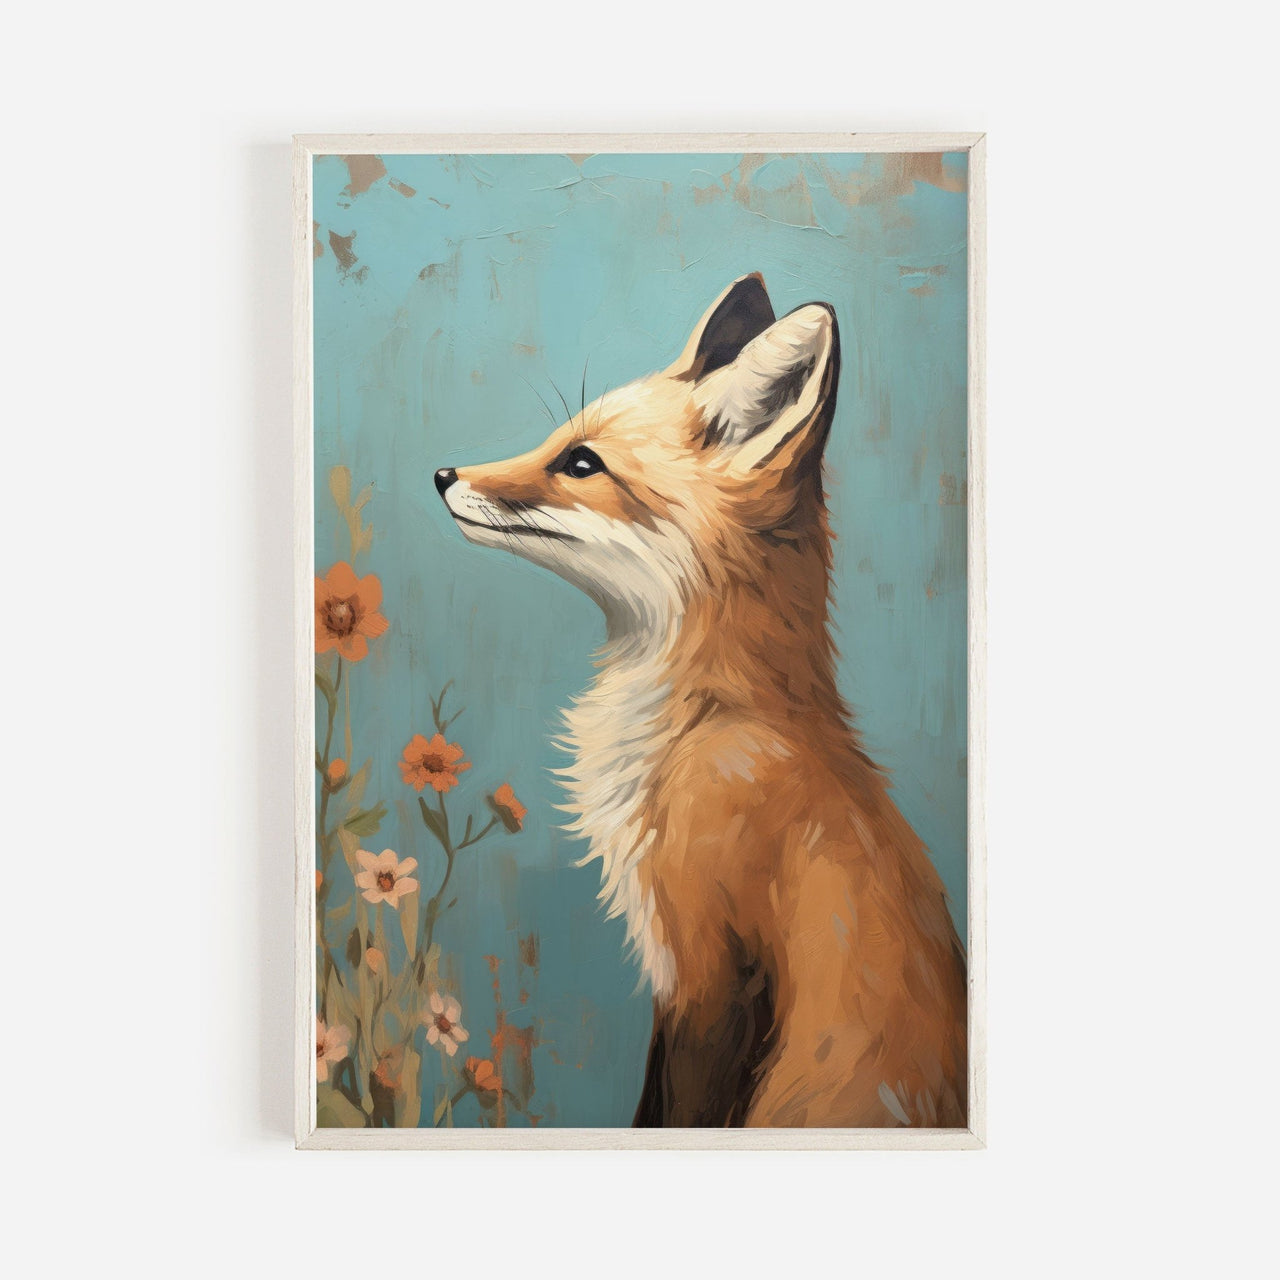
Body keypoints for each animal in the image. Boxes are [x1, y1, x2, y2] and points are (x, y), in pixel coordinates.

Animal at [434, 274, 967, 1127]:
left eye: (581, 462)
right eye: (561, 441)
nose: (445, 476)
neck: (704, 722)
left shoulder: (710, 972)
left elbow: (676, 1112)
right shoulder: (675, 977)